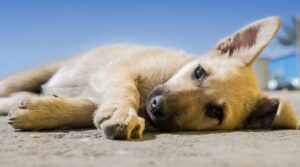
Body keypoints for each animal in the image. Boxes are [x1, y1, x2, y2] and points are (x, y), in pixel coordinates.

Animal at [0, 16, 296, 140]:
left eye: (215, 112)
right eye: (199, 72)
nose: (156, 107)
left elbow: (87, 108)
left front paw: (41, 111)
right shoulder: (121, 70)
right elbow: (124, 91)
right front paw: (121, 113)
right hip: (33, 73)